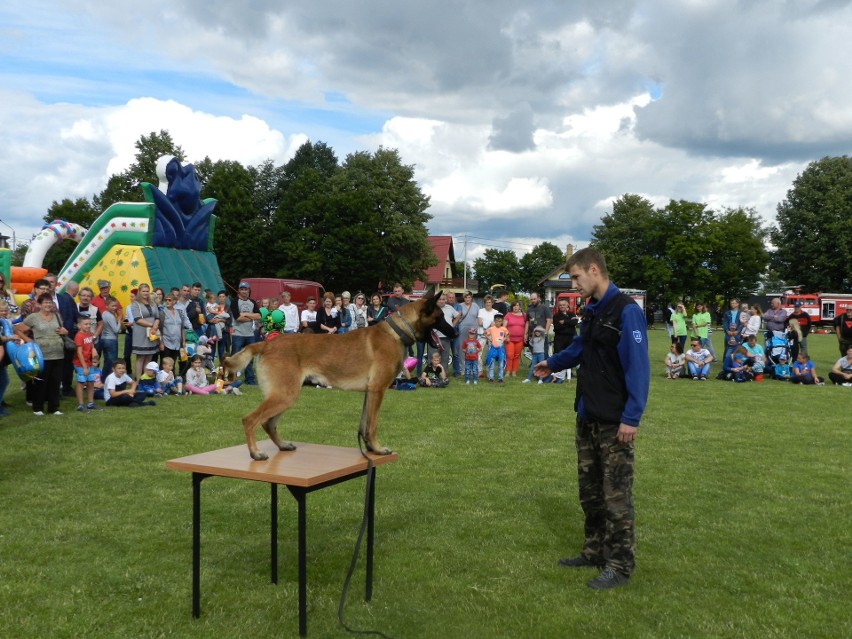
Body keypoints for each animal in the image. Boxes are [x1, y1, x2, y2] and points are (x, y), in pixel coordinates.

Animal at [223, 290, 456, 460]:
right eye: (440, 317)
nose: (454, 333)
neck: (397, 332)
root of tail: (266, 344)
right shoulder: (378, 390)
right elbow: (373, 425)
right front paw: (378, 449)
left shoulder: (369, 394)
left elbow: (364, 425)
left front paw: (369, 449)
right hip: (284, 395)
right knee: (250, 419)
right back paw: (255, 452)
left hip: (284, 396)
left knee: (268, 423)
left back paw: (282, 445)